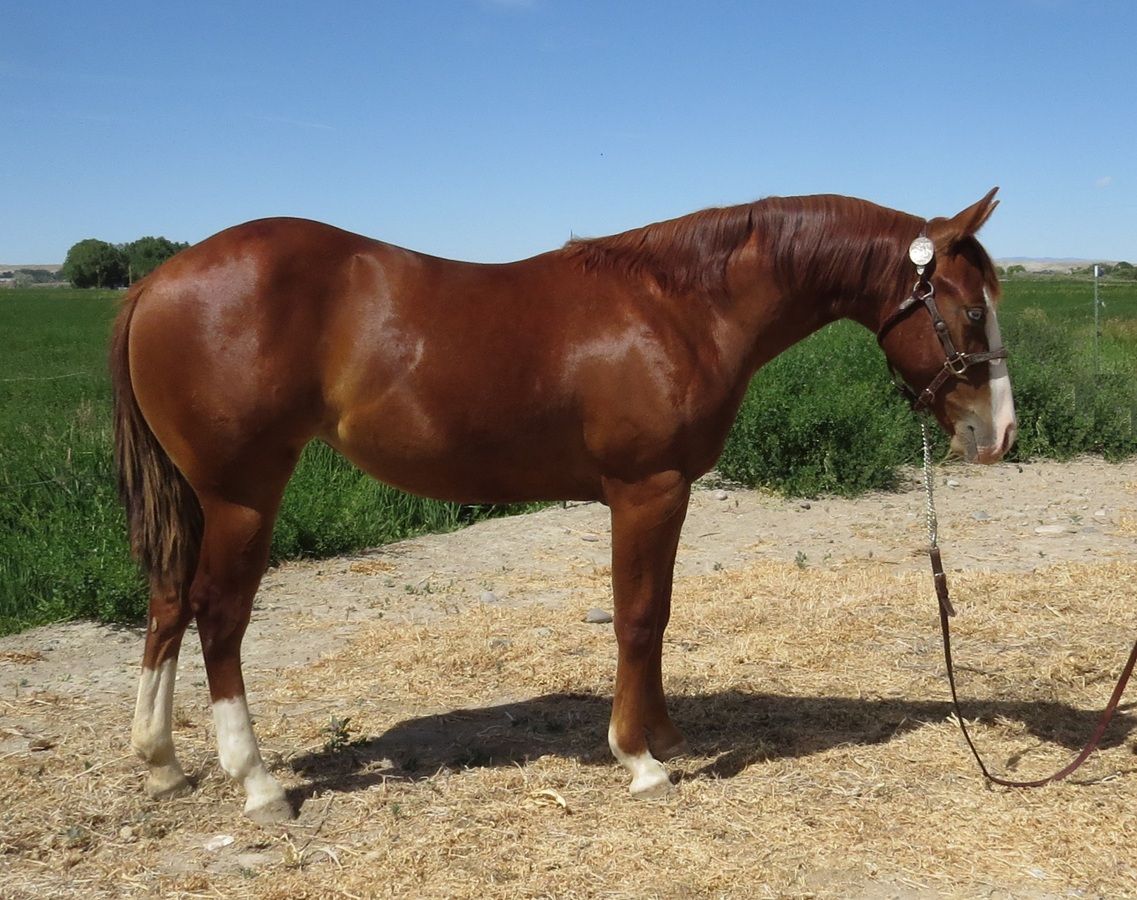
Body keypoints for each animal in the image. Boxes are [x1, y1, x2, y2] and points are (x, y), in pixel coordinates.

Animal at [111, 189, 1015, 823]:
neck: (678, 307)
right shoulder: (645, 490)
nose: (998, 432)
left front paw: (664, 735)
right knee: (217, 615)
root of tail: (154, 280)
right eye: (972, 310)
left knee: (166, 602)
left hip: (199, 500)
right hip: (242, 496)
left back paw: (160, 764)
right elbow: (637, 617)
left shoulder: (670, 493)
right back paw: (258, 784)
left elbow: (659, 613)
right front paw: (640, 761)